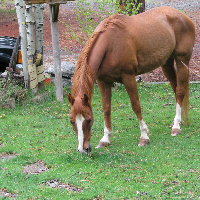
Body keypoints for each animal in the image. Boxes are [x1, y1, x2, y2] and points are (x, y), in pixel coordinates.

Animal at [68, 5, 195, 153]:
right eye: (71, 121)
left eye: (88, 120)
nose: (83, 149)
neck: (110, 44)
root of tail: (183, 16)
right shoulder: (103, 81)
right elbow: (106, 108)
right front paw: (105, 139)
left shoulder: (128, 77)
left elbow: (136, 106)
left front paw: (144, 136)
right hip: (166, 63)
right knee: (176, 89)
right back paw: (177, 121)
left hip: (182, 61)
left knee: (180, 91)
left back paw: (176, 127)